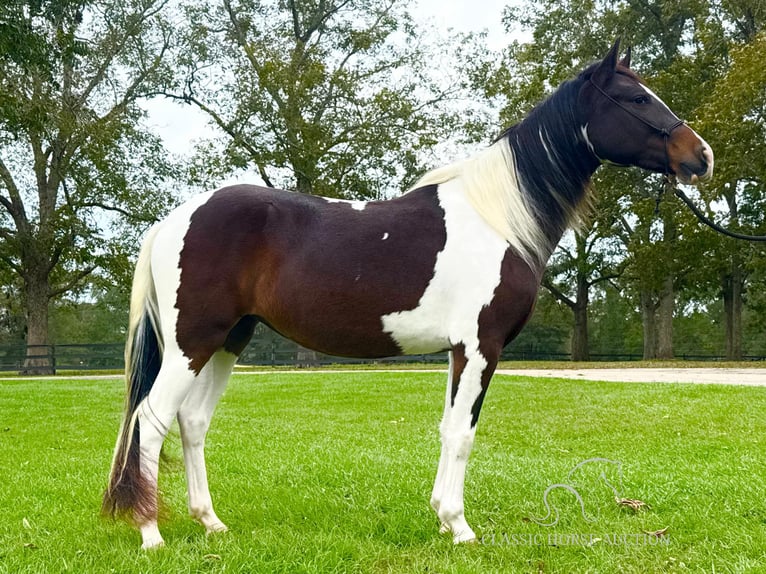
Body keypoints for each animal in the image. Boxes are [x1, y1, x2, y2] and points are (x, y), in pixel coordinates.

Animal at [102, 42, 712, 552]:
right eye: (637, 98)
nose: (700, 155)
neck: (498, 218)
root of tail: (173, 219)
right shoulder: (482, 347)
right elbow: (463, 434)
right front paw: (461, 528)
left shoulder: (458, 351)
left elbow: (448, 429)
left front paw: (443, 517)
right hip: (192, 343)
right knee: (151, 419)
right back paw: (151, 534)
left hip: (227, 341)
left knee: (191, 421)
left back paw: (211, 523)